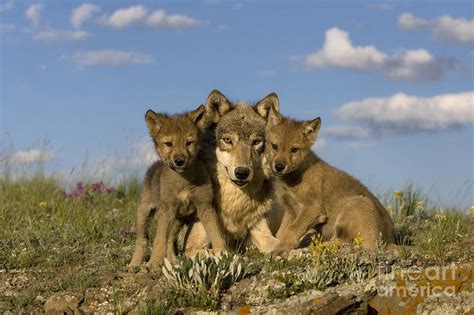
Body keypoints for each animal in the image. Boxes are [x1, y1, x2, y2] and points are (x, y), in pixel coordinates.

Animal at [129, 105, 227, 270]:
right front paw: (152, 263)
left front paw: (224, 253)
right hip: (144, 213)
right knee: (142, 240)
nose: (179, 161)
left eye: (189, 142)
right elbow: (158, 241)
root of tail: (154, 166)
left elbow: (216, 234)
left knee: (169, 240)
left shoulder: (205, 206)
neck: (183, 181)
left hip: (177, 220)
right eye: (169, 143)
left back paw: (173, 261)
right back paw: (134, 264)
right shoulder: (166, 210)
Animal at [182, 90, 280, 256]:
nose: (242, 172)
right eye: (228, 140)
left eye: (256, 142)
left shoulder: (260, 231)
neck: (235, 202)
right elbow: (219, 251)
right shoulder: (191, 246)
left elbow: (280, 243)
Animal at [264, 105, 394, 256]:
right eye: (274, 146)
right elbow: (281, 233)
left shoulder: (312, 208)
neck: (295, 178)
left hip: (356, 204)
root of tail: (388, 241)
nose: (279, 166)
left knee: (343, 242)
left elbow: (292, 230)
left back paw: (309, 248)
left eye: (294, 149)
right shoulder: (290, 210)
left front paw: (279, 250)